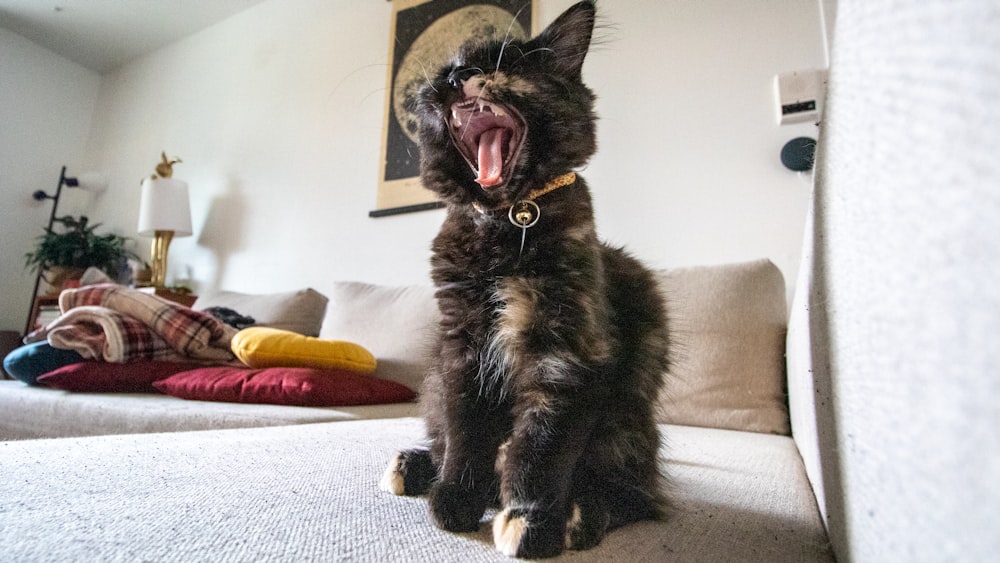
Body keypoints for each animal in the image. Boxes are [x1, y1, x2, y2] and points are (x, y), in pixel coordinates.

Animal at [382, 2, 672, 560]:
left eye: (505, 63)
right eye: (447, 69)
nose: (457, 77)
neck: (506, 221)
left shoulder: (566, 354)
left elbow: (540, 446)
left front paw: (530, 521)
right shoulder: (461, 348)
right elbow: (466, 431)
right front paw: (455, 499)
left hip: (626, 427)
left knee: (635, 496)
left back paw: (579, 516)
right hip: (434, 383)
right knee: (440, 436)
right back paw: (411, 465)